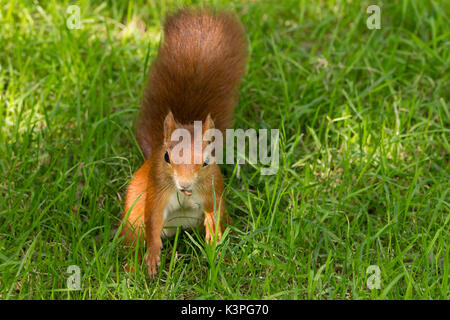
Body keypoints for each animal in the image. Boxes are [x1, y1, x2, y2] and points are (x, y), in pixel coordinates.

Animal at [120, 8, 246, 276]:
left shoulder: (212, 191)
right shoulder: (158, 191)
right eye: (167, 157)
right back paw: (131, 267)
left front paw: (213, 241)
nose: (185, 185)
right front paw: (153, 257)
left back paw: (227, 259)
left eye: (207, 160)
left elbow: (214, 215)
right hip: (133, 217)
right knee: (134, 238)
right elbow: (153, 220)